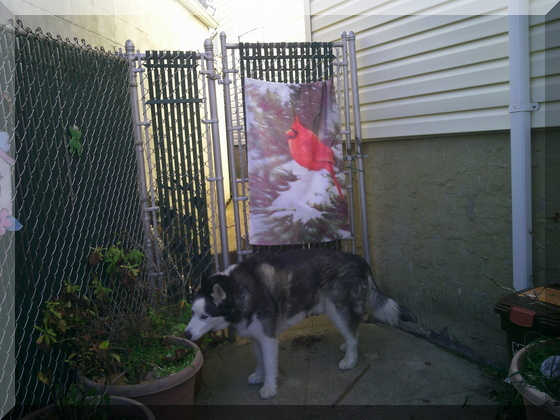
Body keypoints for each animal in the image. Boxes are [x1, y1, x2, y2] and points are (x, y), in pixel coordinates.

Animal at [186, 249, 414, 400]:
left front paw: (269, 387)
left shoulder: (268, 337)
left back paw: (350, 359)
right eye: (193, 313)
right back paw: (347, 348)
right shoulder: (256, 336)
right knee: (352, 333)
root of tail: (359, 258)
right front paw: (259, 375)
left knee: (353, 334)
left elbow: (269, 364)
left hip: (337, 309)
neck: (240, 289)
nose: (186, 334)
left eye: (204, 316)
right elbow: (260, 360)